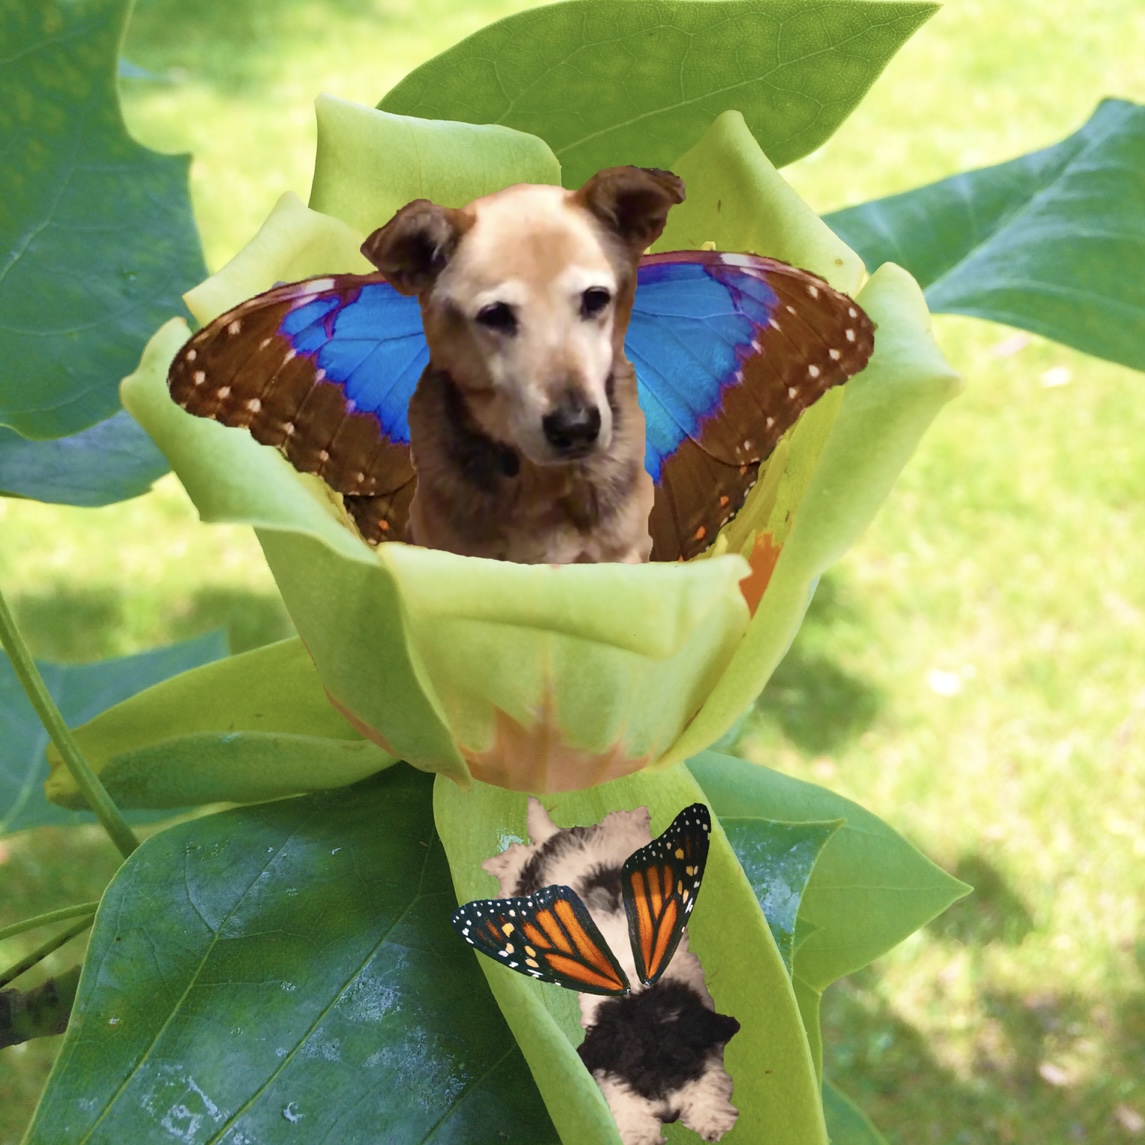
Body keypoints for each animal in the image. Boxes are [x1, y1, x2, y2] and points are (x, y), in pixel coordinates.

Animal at [483, 801, 741, 1140]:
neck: (640, 997)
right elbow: (623, 1099)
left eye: (680, 1063)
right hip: (527, 883)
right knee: (517, 865)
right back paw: (497, 866)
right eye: (636, 1070)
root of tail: (556, 840)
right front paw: (640, 1133)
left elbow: (710, 1076)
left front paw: (712, 1117)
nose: (670, 1116)